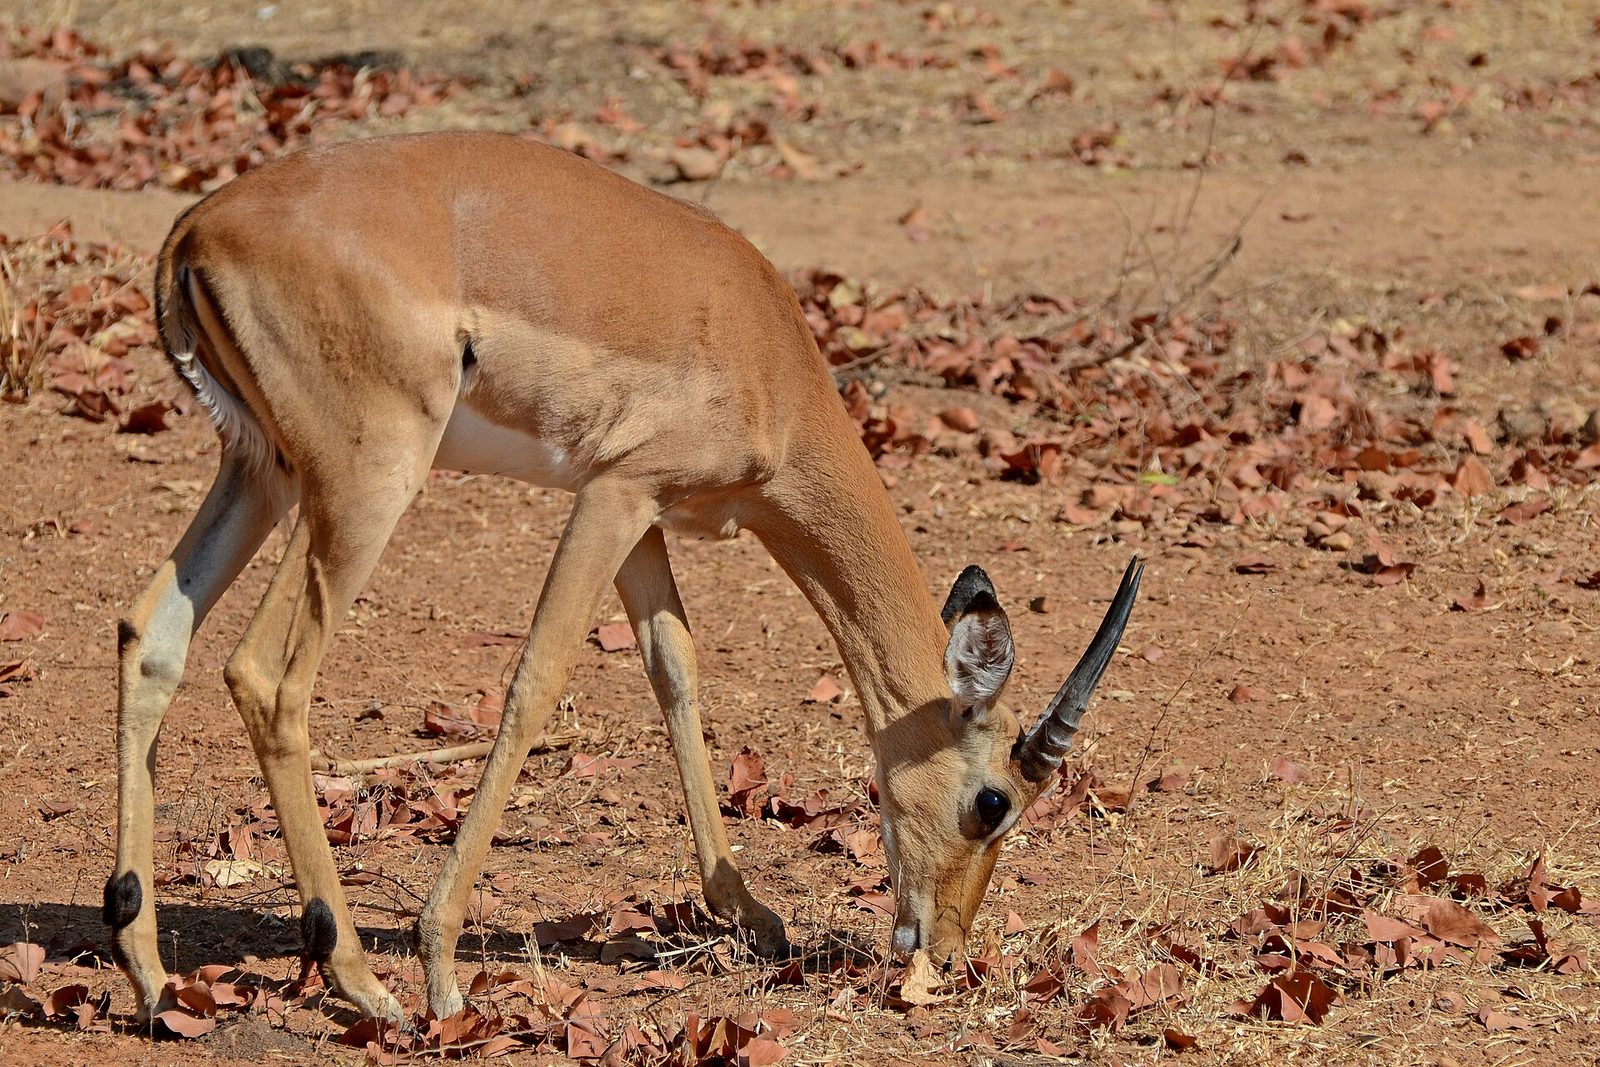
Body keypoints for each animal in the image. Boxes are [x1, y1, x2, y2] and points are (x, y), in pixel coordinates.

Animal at [106, 131, 1142, 1023]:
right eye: (993, 801)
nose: (945, 946)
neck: (766, 354)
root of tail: (197, 228)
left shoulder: (642, 512)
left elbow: (675, 669)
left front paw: (748, 912)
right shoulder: (614, 493)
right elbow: (537, 679)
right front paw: (441, 959)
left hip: (262, 473)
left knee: (152, 629)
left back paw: (150, 973)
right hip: (363, 485)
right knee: (266, 674)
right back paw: (363, 977)